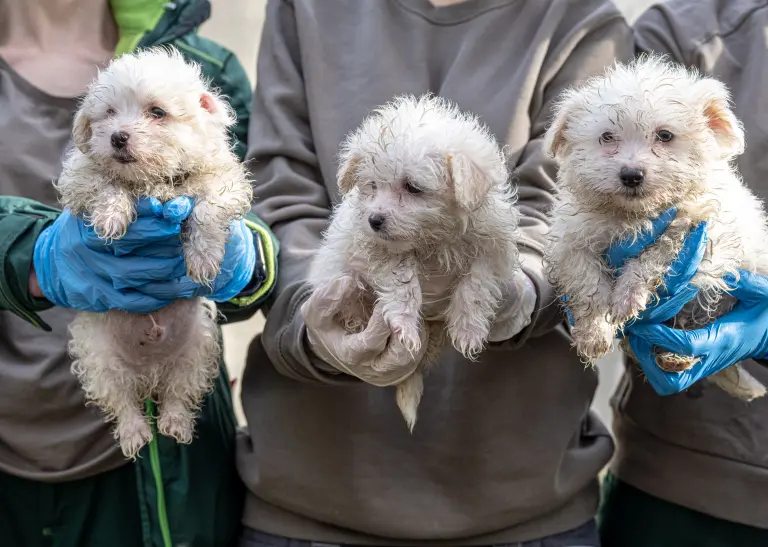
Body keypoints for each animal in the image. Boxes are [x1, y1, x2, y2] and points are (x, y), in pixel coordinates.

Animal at [58, 48, 255, 458]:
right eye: (109, 113)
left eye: (158, 112)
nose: (117, 137)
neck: (152, 183)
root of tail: (149, 373)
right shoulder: (80, 177)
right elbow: (106, 183)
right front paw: (112, 215)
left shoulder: (223, 179)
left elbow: (208, 207)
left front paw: (203, 257)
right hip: (99, 359)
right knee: (123, 404)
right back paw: (135, 433)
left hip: (197, 350)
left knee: (178, 394)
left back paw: (175, 424)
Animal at [310, 93, 520, 428]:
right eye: (372, 186)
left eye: (412, 187)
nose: (374, 220)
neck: (435, 239)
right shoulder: (379, 250)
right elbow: (403, 285)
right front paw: (405, 323)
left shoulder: (492, 247)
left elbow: (477, 285)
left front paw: (468, 328)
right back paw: (356, 315)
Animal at [544, 55, 768, 400]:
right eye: (607, 137)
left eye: (664, 136)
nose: (631, 174)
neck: (633, 217)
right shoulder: (571, 239)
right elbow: (587, 281)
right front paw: (595, 331)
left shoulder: (700, 229)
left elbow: (656, 253)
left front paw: (628, 295)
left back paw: (677, 355)